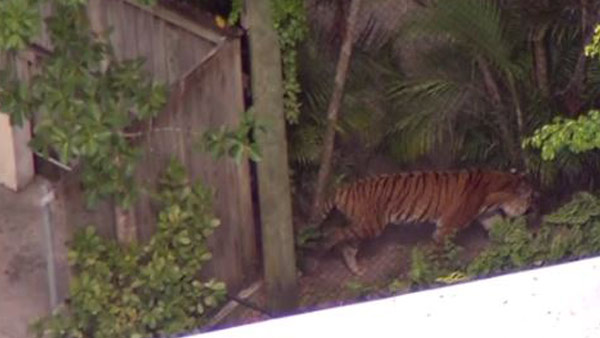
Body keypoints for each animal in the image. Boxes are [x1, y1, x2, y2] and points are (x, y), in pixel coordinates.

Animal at [310, 168, 536, 274]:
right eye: (528, 198)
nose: (528, 209)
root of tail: (343, 188)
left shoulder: (487, 216)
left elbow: (503, 231)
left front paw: (524, 244)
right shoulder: (447, 227)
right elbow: (440, 252)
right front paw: (441, 273)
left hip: (364, 227)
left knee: (347, 245)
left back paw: (356, 270)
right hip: (369, 226)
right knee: (334, 234)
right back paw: (322, 249)